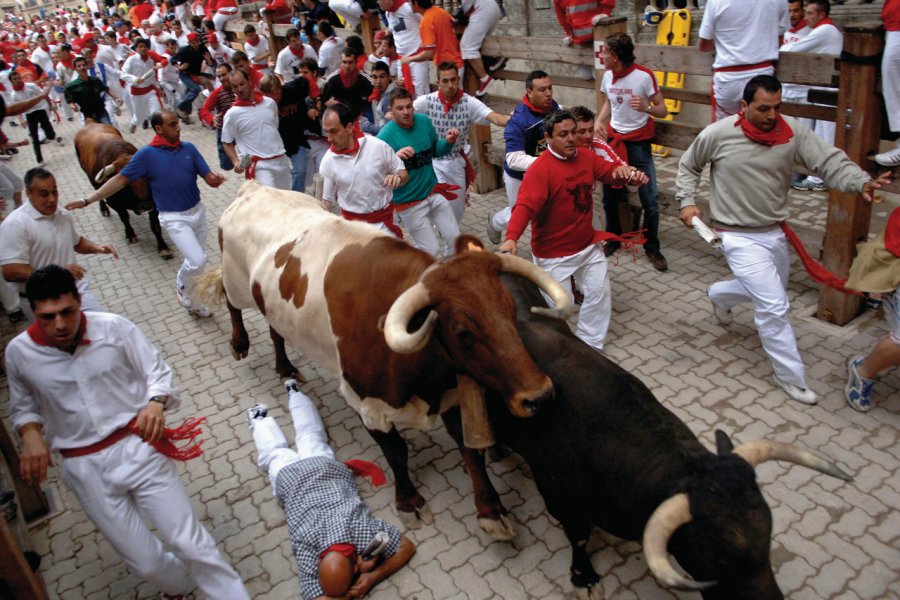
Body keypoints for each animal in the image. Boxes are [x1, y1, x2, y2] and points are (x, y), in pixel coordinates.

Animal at [74, 124, 172, 258]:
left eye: (148, 178)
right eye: (126, 184)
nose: (146, 205)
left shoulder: (154, 204)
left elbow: (155, 226)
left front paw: (163, 247)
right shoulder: (115, 203)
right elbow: (124, 217)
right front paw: (130, 234)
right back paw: (103, 209)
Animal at [436, 274, 852, 600]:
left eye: (768, 534)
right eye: (714, 554)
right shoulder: (558, 496)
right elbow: (578, 536)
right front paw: (584, 578)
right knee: (468, 449)